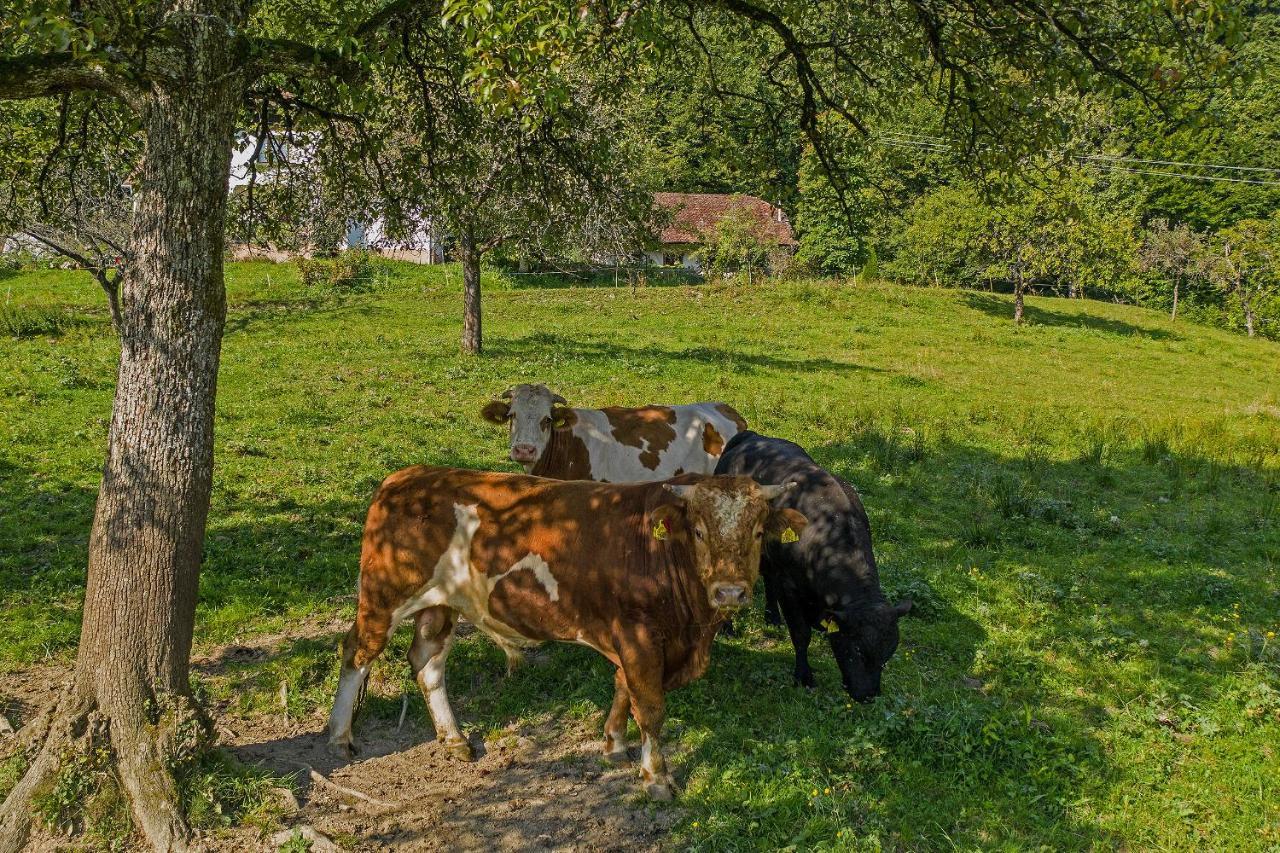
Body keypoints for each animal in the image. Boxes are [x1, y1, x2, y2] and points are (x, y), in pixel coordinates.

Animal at [330, 461, 808, 794]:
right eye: (699, 531)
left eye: (759, 531)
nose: (730, 592)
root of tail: (405, 477)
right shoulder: (638, 634)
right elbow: (650, 706)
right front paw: (656, 776)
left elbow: (622, 687)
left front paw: (614, 744)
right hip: (383, 595)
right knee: (357, 651)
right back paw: (339, 737)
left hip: (443, 605)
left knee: (428, 663)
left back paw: (454, 739)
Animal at [721, 427, 911, 701]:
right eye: (856, 648)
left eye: (887, 654)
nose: (868, 695)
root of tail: (751, 436)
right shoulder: (790, 586)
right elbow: (801, 634)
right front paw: (804, 676)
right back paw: (727, 626)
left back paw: (772, 616)